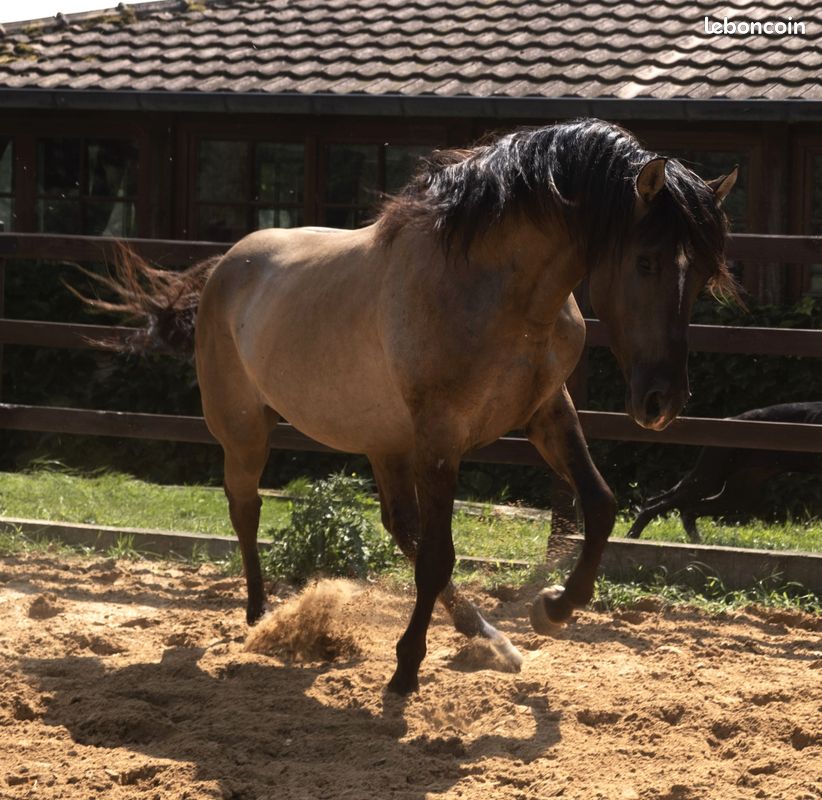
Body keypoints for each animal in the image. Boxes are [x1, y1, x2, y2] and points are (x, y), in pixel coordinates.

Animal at [83, 118, 737, 694]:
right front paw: (405, 671)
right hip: (245, 430)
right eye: (645, 260)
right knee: (247, 510)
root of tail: (227, 264)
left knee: (397, 525)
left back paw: (489, 638)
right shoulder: (440, 437)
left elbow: (598, 506)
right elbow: (439, 556)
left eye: (705, 271)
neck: (497, 293)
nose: (661, 402)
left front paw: (554, 609)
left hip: (383, 442)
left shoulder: (548, 412)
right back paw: (260, 614)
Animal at [626, 402, 822, 542]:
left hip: (739, 495)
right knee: (656, 504)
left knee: (686, 509)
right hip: (709, 478)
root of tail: (728, 420)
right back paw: (632, 537)